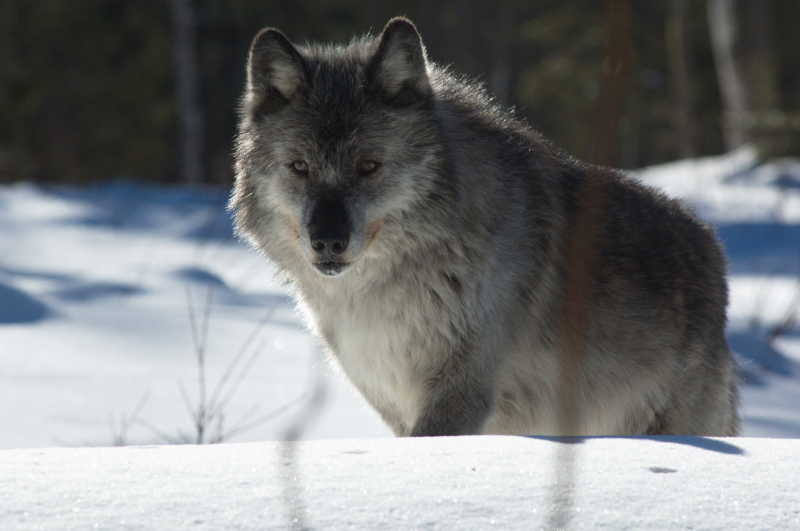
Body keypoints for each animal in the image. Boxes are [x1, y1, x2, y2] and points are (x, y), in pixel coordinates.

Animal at [228, 18, 740, 438]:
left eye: (369, 166)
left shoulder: (460, 392)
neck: (386, 291)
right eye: (300, 167)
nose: (328, 241)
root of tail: (712, 247)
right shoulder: (392, 402)